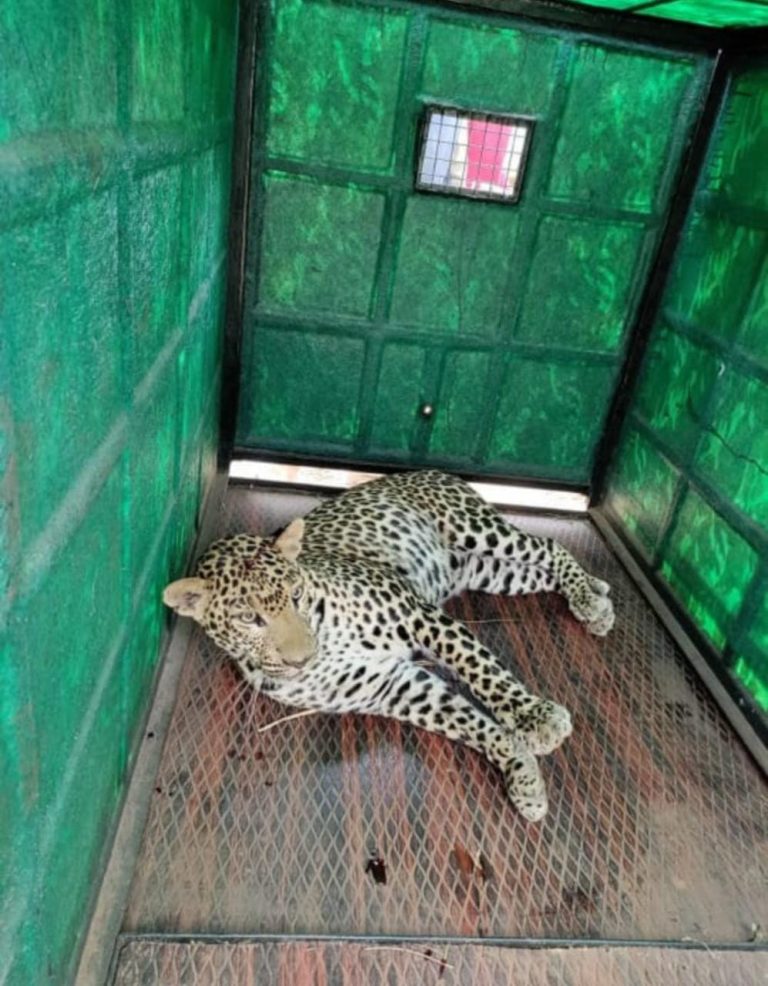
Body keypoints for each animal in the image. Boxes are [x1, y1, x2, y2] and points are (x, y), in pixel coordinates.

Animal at [163, 469, 614, 822]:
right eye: (248, 619)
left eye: (295, 595)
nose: (303, 658)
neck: (326, 635)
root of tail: (429, 471)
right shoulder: (392, 686)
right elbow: (471, 722)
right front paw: (522, 774)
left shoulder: (419, 617)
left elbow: (484, 672)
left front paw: (535, 718)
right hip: (489, 571)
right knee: (541, 571)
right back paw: (595, 595)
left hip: (478, 530)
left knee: (548, 547)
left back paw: (590, 600)